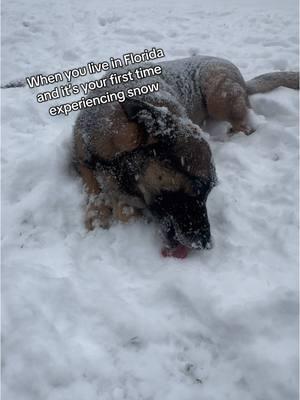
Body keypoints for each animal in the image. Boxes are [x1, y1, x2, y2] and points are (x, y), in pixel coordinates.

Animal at [72, 55, 298, 256]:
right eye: (197, 188)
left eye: (209, 192)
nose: (207, 244)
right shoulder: (81, 159)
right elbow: (93, 187)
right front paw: (98, 212)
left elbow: (122, 206)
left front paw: (119, 206)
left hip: (217, 95)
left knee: (247, 126)